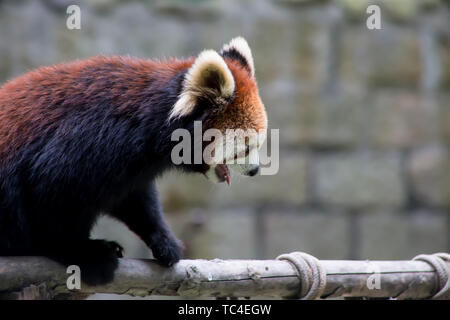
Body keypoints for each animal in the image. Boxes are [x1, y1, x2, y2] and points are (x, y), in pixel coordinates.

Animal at [0, 37, 268, 284]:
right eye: (247, 147)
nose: (255, 170)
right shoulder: (90, 139)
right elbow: (52, 193)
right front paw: (81, 252)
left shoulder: (131, 168)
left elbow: (136, 199)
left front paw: (164, 240)